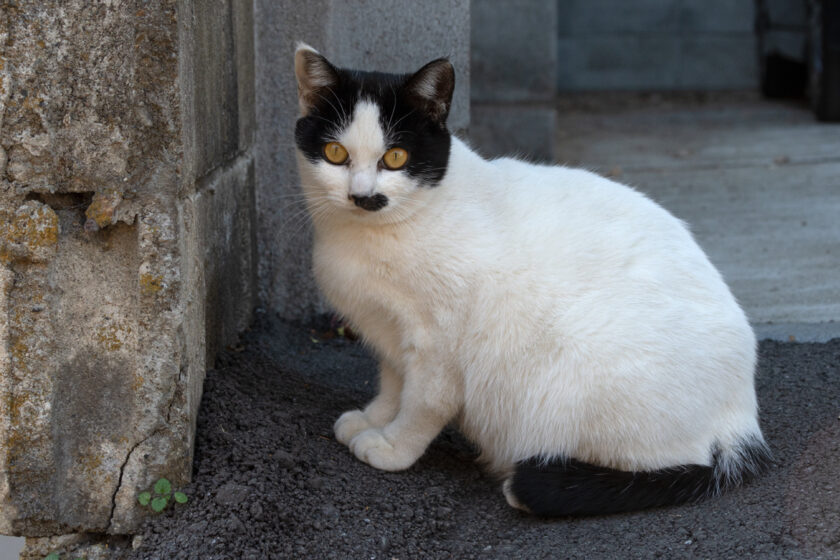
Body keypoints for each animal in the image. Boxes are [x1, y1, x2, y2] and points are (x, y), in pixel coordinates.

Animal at [290, 43, 768, 516]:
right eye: (336, 154)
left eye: (395, 158)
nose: (362, 195)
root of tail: (742, 417)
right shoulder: (391, 332)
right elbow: (393, 384)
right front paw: (374, 418)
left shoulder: (439, 344)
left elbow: (423, 403)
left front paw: (392, 445)